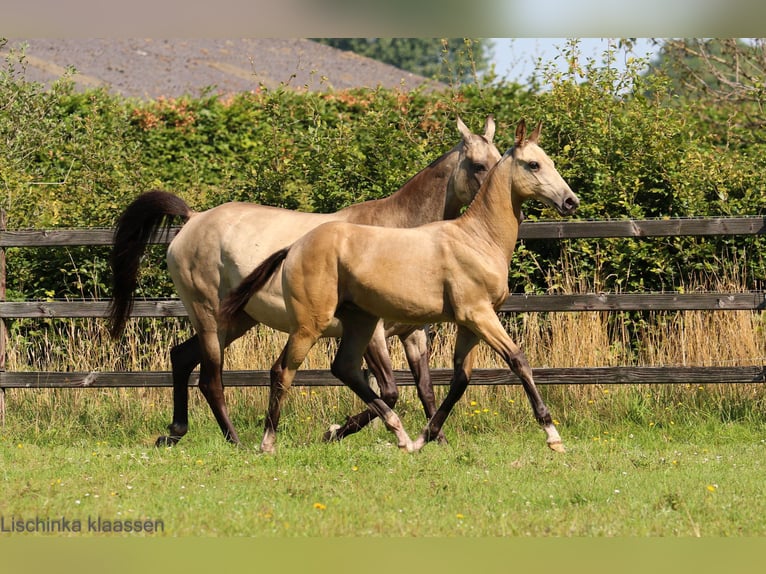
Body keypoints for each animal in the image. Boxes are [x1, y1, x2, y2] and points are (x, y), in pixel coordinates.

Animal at [108, 117, 504, 448]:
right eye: (478, 165)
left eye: (501, 158)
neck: (397, 234)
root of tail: (192, 218)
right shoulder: (373, 332)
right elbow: (390, 391)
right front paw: (335, 432)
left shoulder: (413, 333)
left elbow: (425, 389)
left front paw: (435, 440)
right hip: (209, 317)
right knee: (211, 379)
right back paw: (235, 440)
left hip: (235, 320)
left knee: (181, 357)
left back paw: (174, 434)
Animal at [219, 119, 580, 456]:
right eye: (533, 164)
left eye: (549, 160)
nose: (570, 201)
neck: (477, 239)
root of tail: (295, 246)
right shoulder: (477, 315)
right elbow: (517, 360)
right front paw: (553, 436)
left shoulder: (467, 323)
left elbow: (457, 380)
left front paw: (425, 437)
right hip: (310, 325)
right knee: (281, 370)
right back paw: (267, 442)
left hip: (359, 323)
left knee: (344, 368)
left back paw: (398, 435)